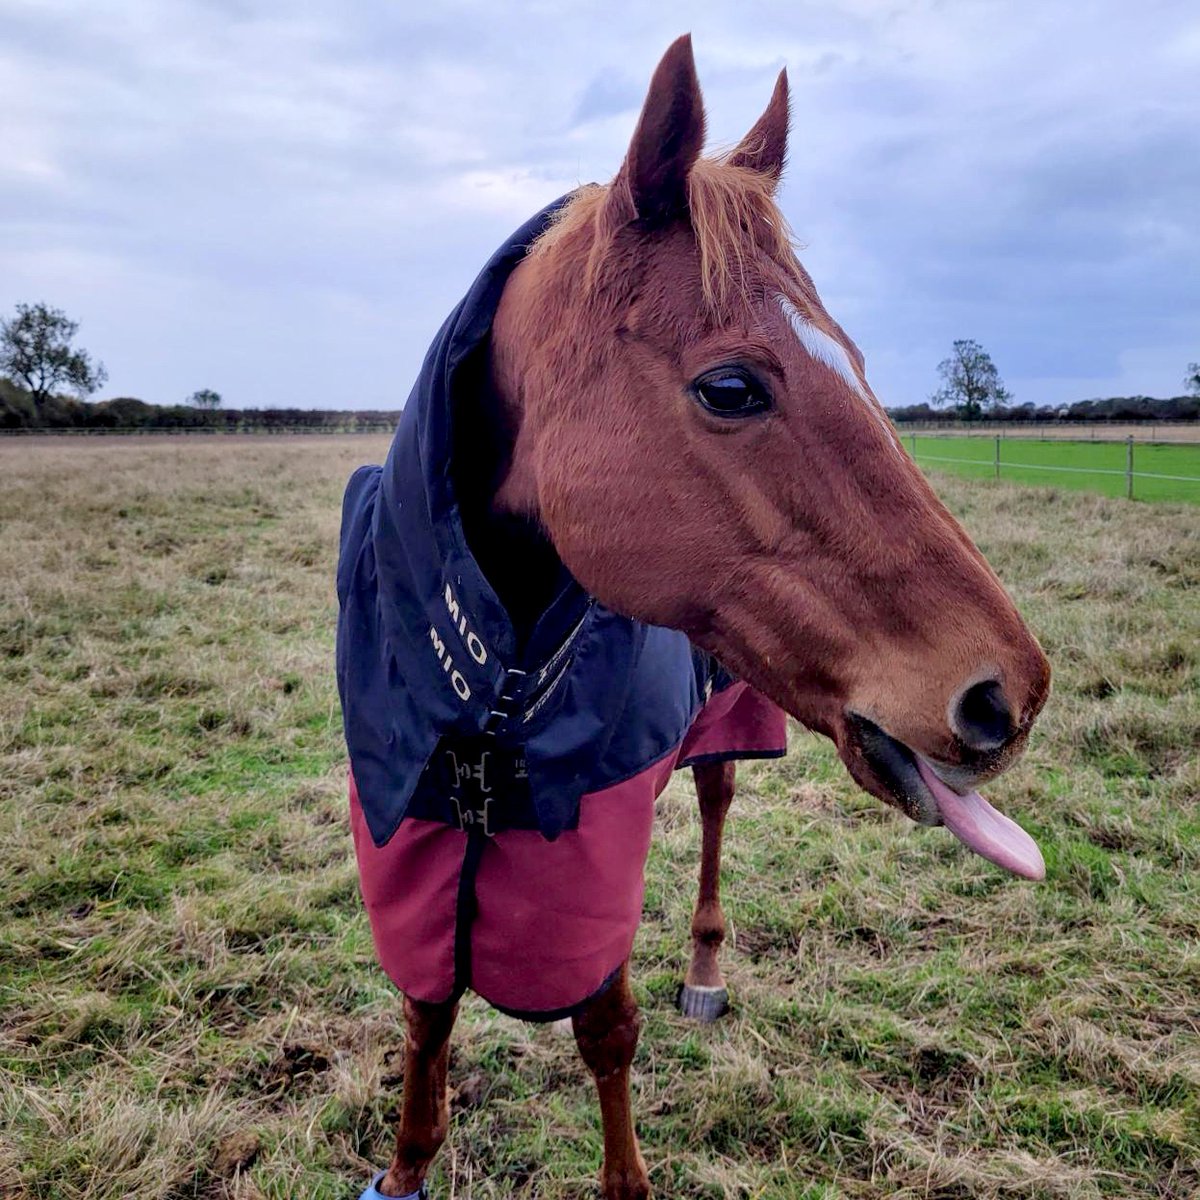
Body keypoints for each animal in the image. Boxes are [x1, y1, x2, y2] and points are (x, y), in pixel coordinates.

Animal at [337, 35, 1050, 1200]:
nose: (1009, 695)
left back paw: (708, 964)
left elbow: (606, 1030)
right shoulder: (413, 840)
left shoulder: (593, 870)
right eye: (730, 387)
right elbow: (426, 1016)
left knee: (715, 808)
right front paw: (402, 1171)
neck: (495, 695)